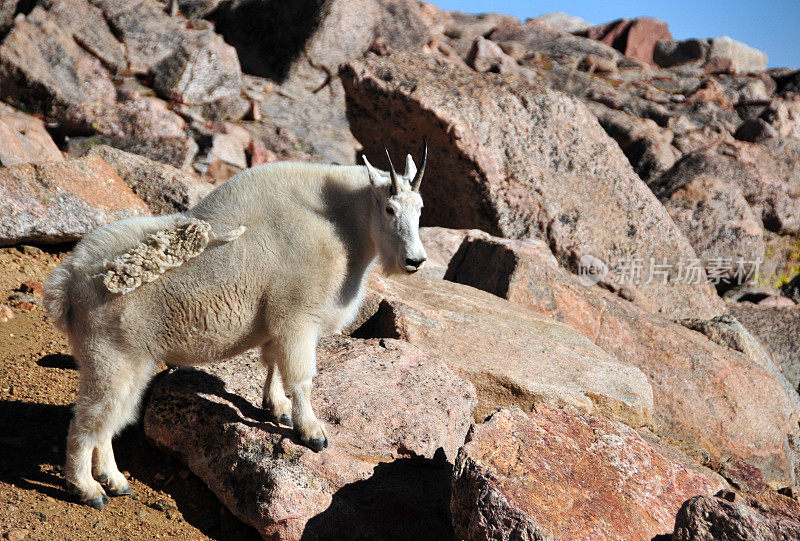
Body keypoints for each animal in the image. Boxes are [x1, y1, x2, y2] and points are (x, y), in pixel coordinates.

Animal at [42, 141, 432, 508]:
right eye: (389, 209)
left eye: (420, 209)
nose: (415, 260)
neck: (339, 224)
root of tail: (66, 283)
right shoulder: (298, 316)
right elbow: (302, 377)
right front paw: (312, 432)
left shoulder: (277, 320)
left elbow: (272, 362)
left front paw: (277, 408)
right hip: (111, 359)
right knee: (88, 422)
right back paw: (88, 489)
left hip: (132, 363)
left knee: (111, 419)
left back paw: (114, 480)